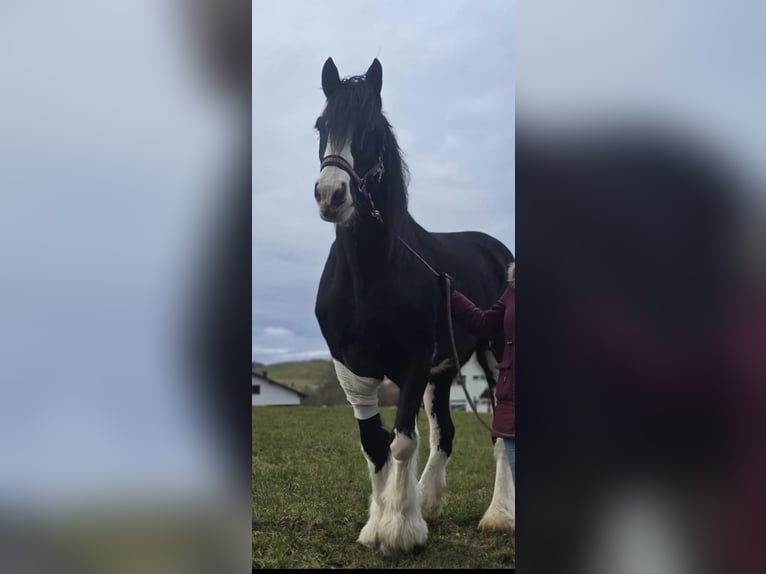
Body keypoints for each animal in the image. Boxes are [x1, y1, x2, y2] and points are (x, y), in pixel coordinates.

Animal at [313, 57, 515, 555]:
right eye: (321, 126)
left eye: (372, 131)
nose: (331, 195)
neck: (370, 276)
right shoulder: (352, 369)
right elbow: (375, 444)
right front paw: (380, 523)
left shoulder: (413, 363)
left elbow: (403, 442)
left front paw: (399, 529)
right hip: (442, 374)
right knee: (445, 433)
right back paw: (428, 500)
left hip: (495, 357)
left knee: (499, 435)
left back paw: (498, 515)